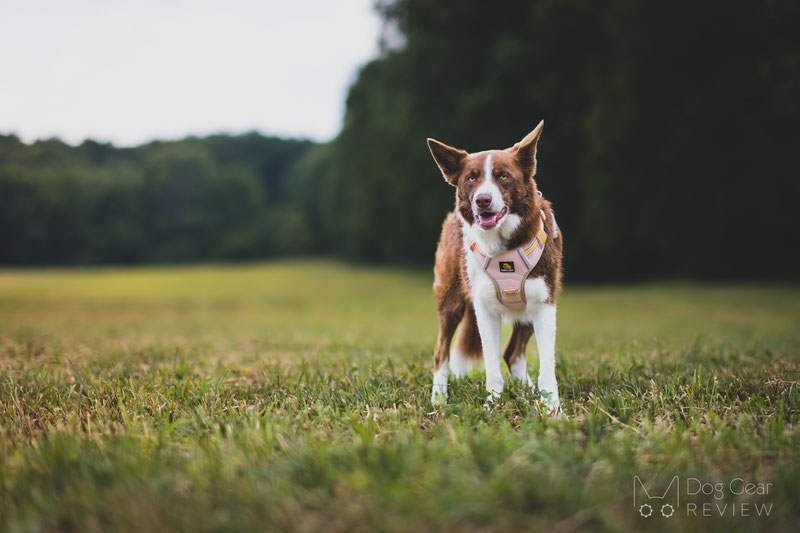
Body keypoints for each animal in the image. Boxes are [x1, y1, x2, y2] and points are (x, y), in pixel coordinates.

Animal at [424, 120, 564, 412]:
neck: (504, 246)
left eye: (503, 176)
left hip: (528, 309)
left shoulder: (545, 304)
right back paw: (439, 399)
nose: (482, 200)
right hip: (451, 299)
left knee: (513, 353)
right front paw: (493, 406)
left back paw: (528, 391)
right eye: (471, 178)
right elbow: (491, 367)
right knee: (440, 351)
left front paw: (553, 411)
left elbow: (547, 368)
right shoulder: (484, 308)